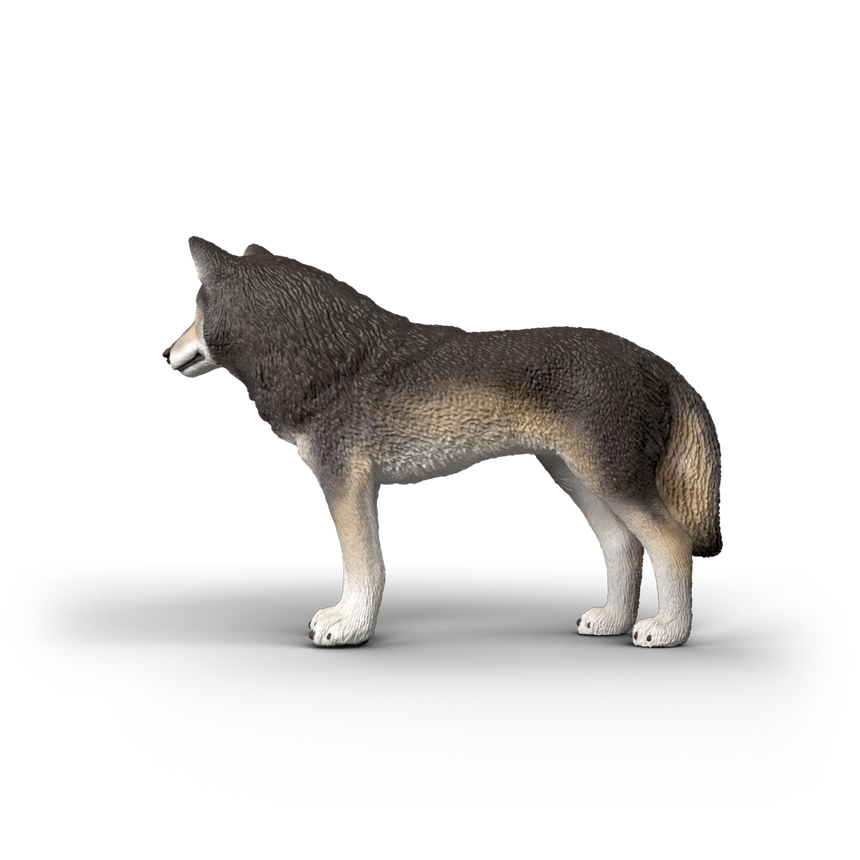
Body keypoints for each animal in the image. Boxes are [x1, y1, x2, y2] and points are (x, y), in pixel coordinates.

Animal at [162, 235, 724, 647]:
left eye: (193, 310)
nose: (165, 353)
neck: (330, 361)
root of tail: (654, 359)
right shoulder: (360, 487)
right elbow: (372, 563)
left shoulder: (345, 484)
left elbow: (363, 564)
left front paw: (349, 625)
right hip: (579, 480)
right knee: (624, 547)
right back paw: (611, 621)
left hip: (610, 482)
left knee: (671, 544)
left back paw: (667, 631)